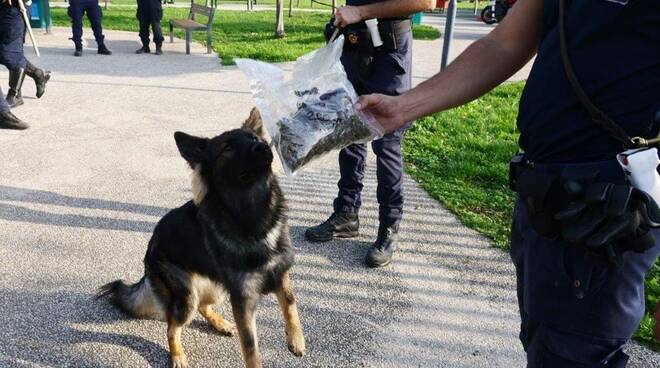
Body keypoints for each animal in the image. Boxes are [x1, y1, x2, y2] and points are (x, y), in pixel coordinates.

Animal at [98, 109, 306, 368]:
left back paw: (221, 324)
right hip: (188, 296)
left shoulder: (280, 273)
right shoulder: (243, 298)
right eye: (227, 148)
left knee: (203, 307)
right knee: (172, 326)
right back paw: (178, 356)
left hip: (216, 288)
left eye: (254, 138)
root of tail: (150, 248)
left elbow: (290, 303)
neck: (253, 214)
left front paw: (296, 339)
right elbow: (251, 347)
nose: (264, 148)